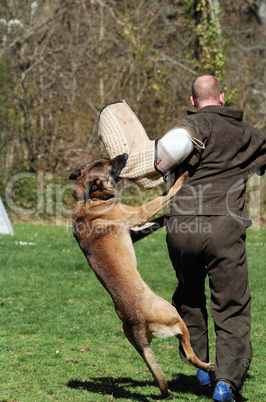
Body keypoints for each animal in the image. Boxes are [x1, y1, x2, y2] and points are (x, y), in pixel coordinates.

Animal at [69, 154, 214, 398]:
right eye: (111, 164)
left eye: (106, 159)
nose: (124, 155)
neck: (88, 199)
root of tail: (136, 322)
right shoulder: (138, 214)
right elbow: (163, 197)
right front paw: (182, 175)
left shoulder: (136, 229)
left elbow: (158, 217)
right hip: (176, 316)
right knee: (189, 354)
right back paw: (207, 366)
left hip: (140, 343)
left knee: (157, 369)